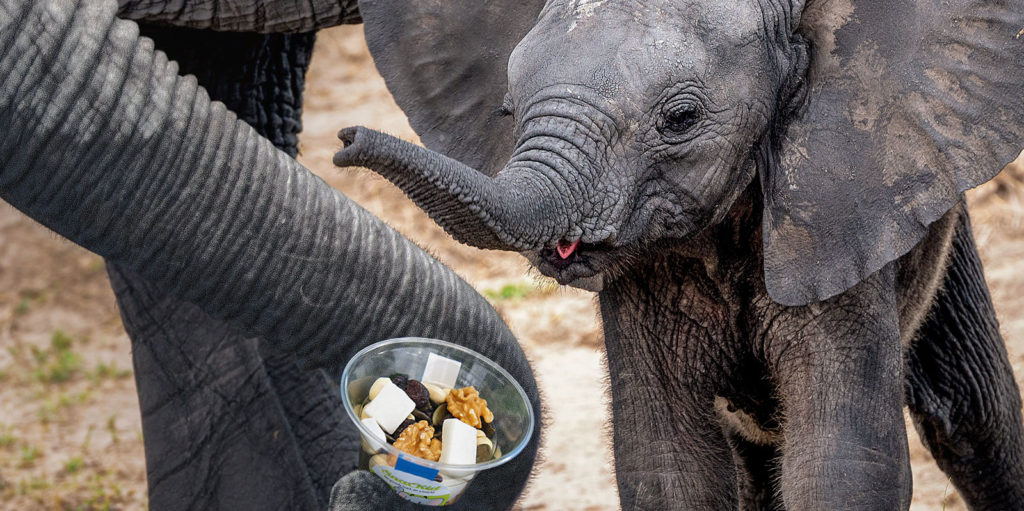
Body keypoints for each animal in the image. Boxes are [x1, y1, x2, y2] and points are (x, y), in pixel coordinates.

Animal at [333, 0, 1024, 509]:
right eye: (507, 109)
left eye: (682, 119)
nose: (343, 140)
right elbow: (668, 467)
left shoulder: (838, 209)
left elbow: (843, 465)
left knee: (970, 414)